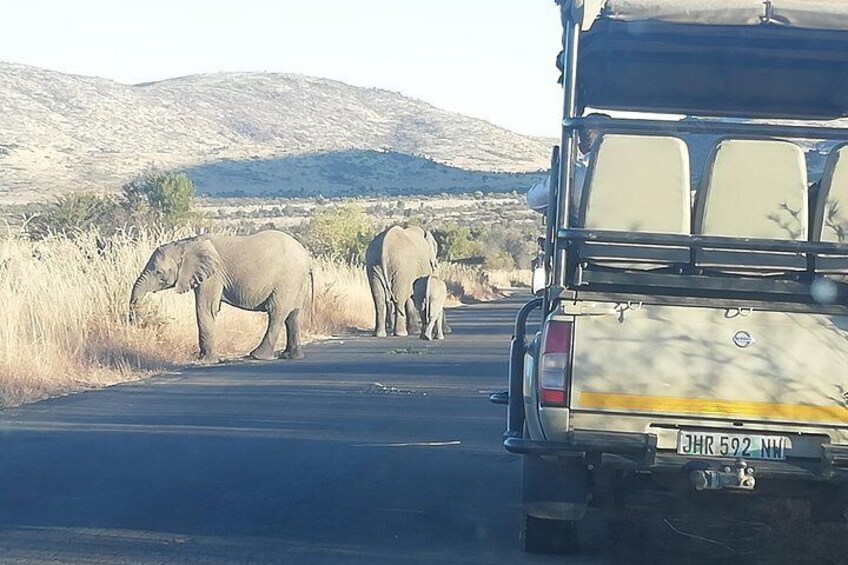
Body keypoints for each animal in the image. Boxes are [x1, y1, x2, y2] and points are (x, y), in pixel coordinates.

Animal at [126, 229, 312, 362]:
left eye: (159, 272)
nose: (135, 323)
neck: (186, 244)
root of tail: (306, 256)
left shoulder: (213, 275)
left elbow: (205, 309)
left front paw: (204, 361)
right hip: (296, 281)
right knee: (292, 315)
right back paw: (291, 356)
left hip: (288, 279)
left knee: (276, 313)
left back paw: (257, 356)